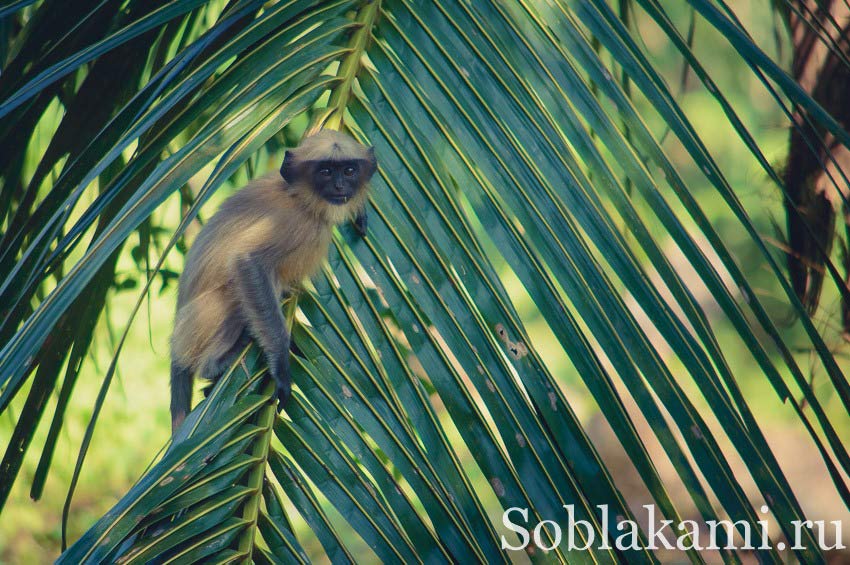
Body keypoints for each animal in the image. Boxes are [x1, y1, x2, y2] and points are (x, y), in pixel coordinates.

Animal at [169, 130, 374, 432]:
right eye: (325, 172)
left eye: (349, 171)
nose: (339, 186)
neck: (300, 197)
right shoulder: (294, 223)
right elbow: (248, 262)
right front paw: (281, 367)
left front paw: (360, 212)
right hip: (196, 325)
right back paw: (214, 365)